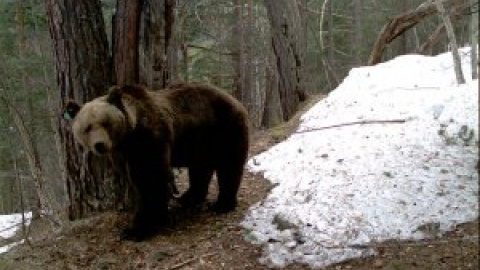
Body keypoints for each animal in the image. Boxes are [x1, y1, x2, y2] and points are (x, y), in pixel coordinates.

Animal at [63, 83, 249, 240]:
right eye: (87, 127)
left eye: (106, 123)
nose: (99, 145)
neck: (127, 138)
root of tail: (235, 99)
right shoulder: (122, 154)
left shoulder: (149, 139)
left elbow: (150, 180)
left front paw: (137, 229)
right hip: (200, 140)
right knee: (200, 169)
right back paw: (189, 197)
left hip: (224, 128)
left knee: (229, 166)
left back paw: (222, 204)